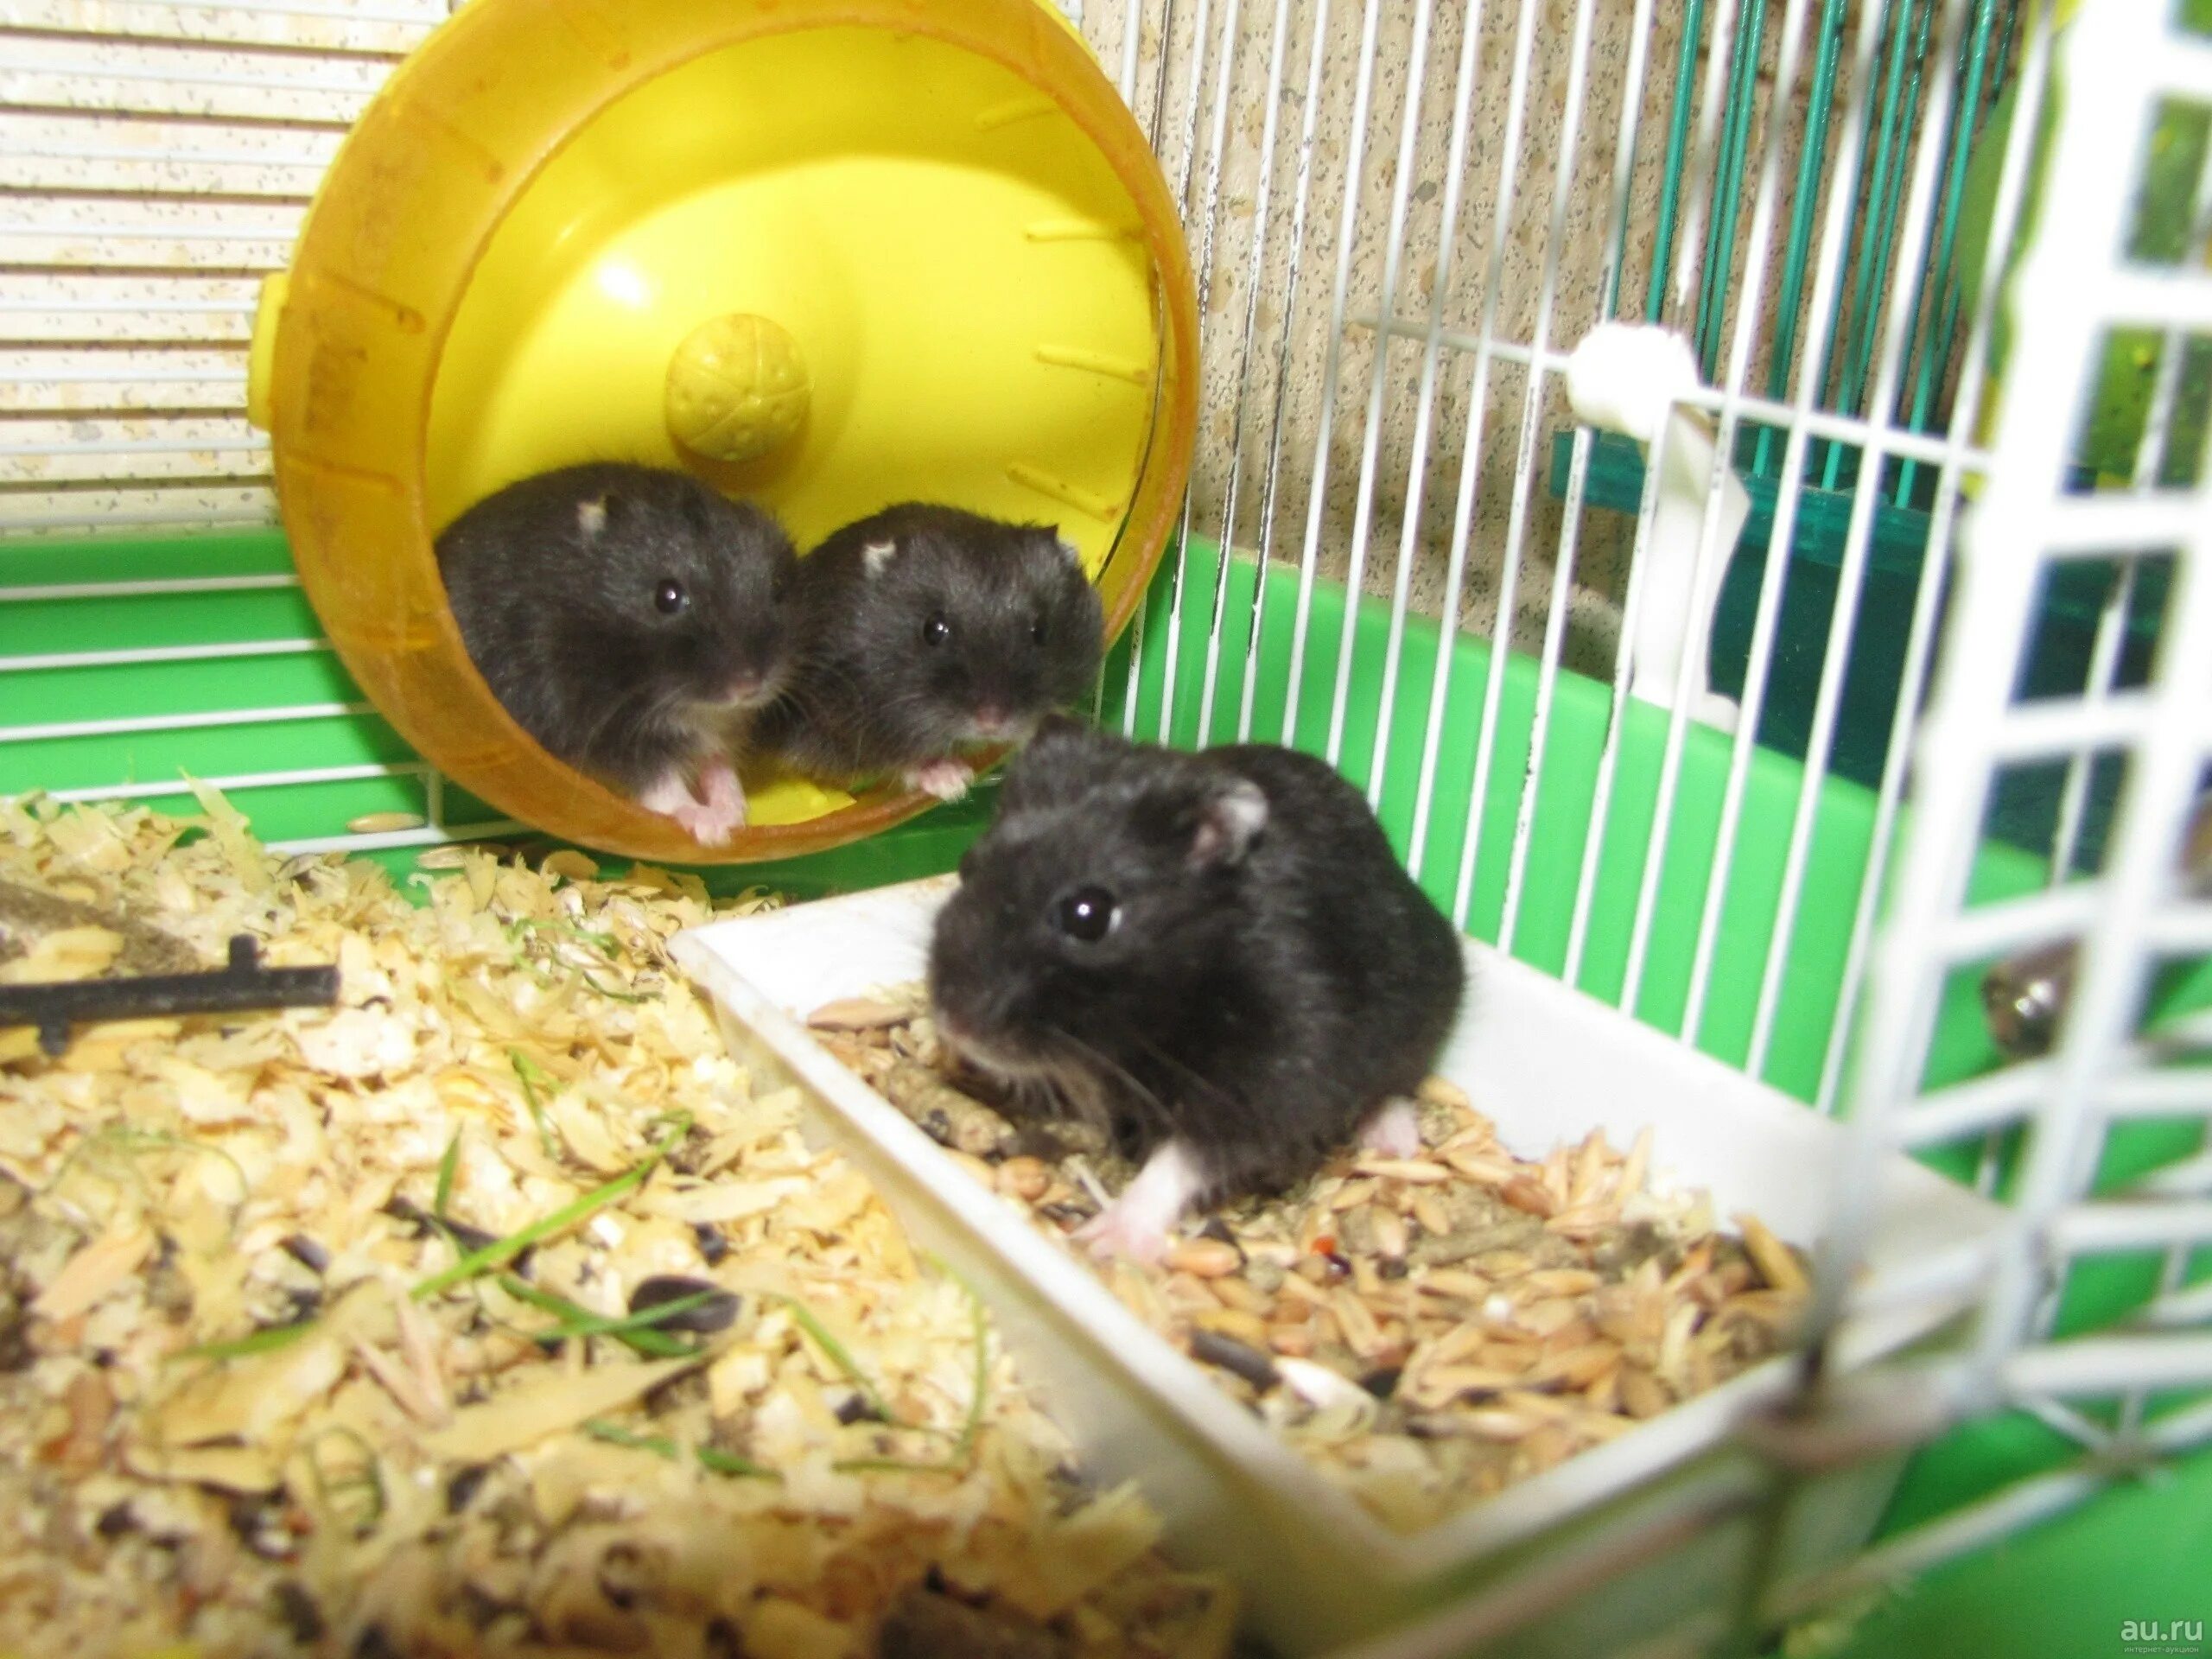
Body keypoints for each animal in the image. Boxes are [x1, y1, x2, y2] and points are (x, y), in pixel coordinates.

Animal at [435, 462, 798, 844]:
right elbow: (660, 781)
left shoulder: (719, 727)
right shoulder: (604, 729)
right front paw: (712, 830)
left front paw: (735, 816)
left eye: (777, 588)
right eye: (666, 596)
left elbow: (718, 764)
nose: (749, 686)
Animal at [755, 503, 1105, 802]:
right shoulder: (845, 720)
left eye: (1041, 630)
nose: (992, 722)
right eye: (932, 630)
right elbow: (895, 758)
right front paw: (954, 783)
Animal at [926, 718, 1468, 1262]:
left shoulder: (1270, 1074)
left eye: (1089, 915)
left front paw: (1105, 1241)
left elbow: (1186, 1159)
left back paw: (1392, 1144)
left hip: (1419, 1008)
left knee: (1397, 1082)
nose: (954, 1025)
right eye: (967, 864)